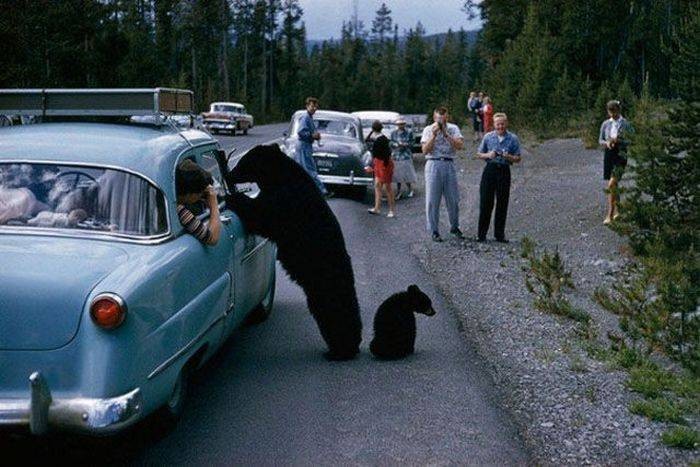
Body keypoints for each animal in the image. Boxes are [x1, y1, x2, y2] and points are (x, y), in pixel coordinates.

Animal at [226, 144, 360, 360]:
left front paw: (231, 197)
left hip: (324, 283)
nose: (229, 174)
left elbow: (262, 215)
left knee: (333, 311)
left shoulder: (286, 201)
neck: (278, 177)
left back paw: (340, 351)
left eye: (243, 162)